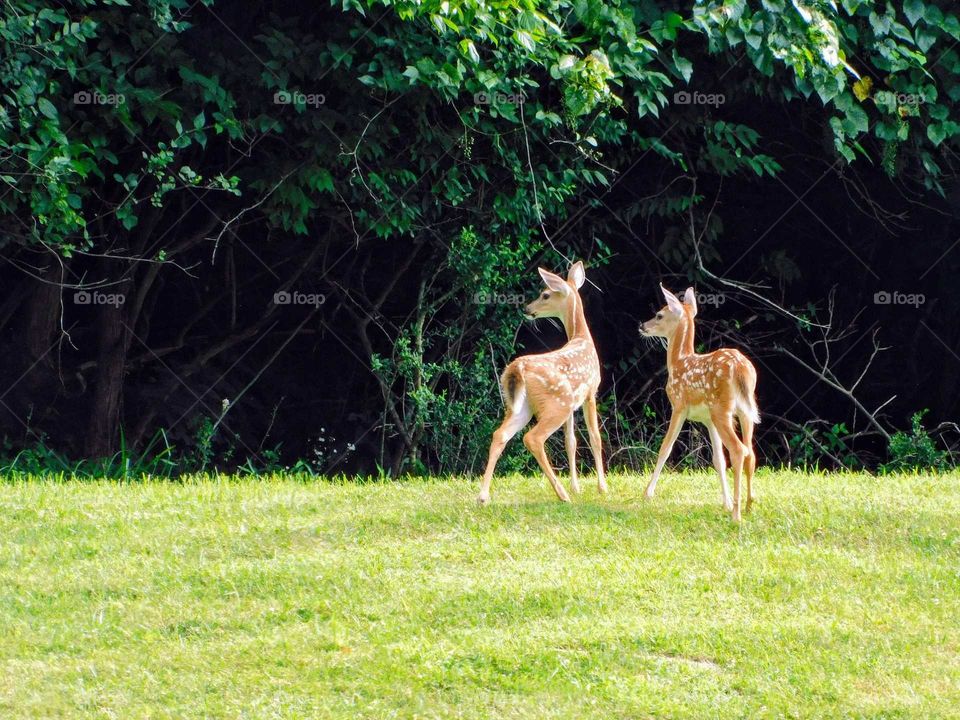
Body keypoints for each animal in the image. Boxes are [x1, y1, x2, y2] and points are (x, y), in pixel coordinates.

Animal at [477, 260, 606, 505]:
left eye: (545, 294)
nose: (527, 309)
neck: (582, 339)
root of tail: (517, 369)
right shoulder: (590, 392)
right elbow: (595, 438)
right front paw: (601, 487)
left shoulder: (574, 403)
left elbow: (571, 441)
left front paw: (577, 486)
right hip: (556, 403)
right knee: (533, 438)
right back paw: (562, 494)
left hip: (521, 406)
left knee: (499, 434)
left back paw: (482, 496)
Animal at [639, 285, 759, 522]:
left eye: (659, 314)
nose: (642, 325)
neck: (678, 363)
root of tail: (741, 368)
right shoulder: (707, 419)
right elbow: (718, 460)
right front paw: (725, 502)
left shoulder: (678, 405)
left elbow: (665, 448)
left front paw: (647, 493)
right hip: (743, 410)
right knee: (750, 452)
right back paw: (749, 506)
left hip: (722, 409)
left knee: (739, 450)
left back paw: (737, 514)